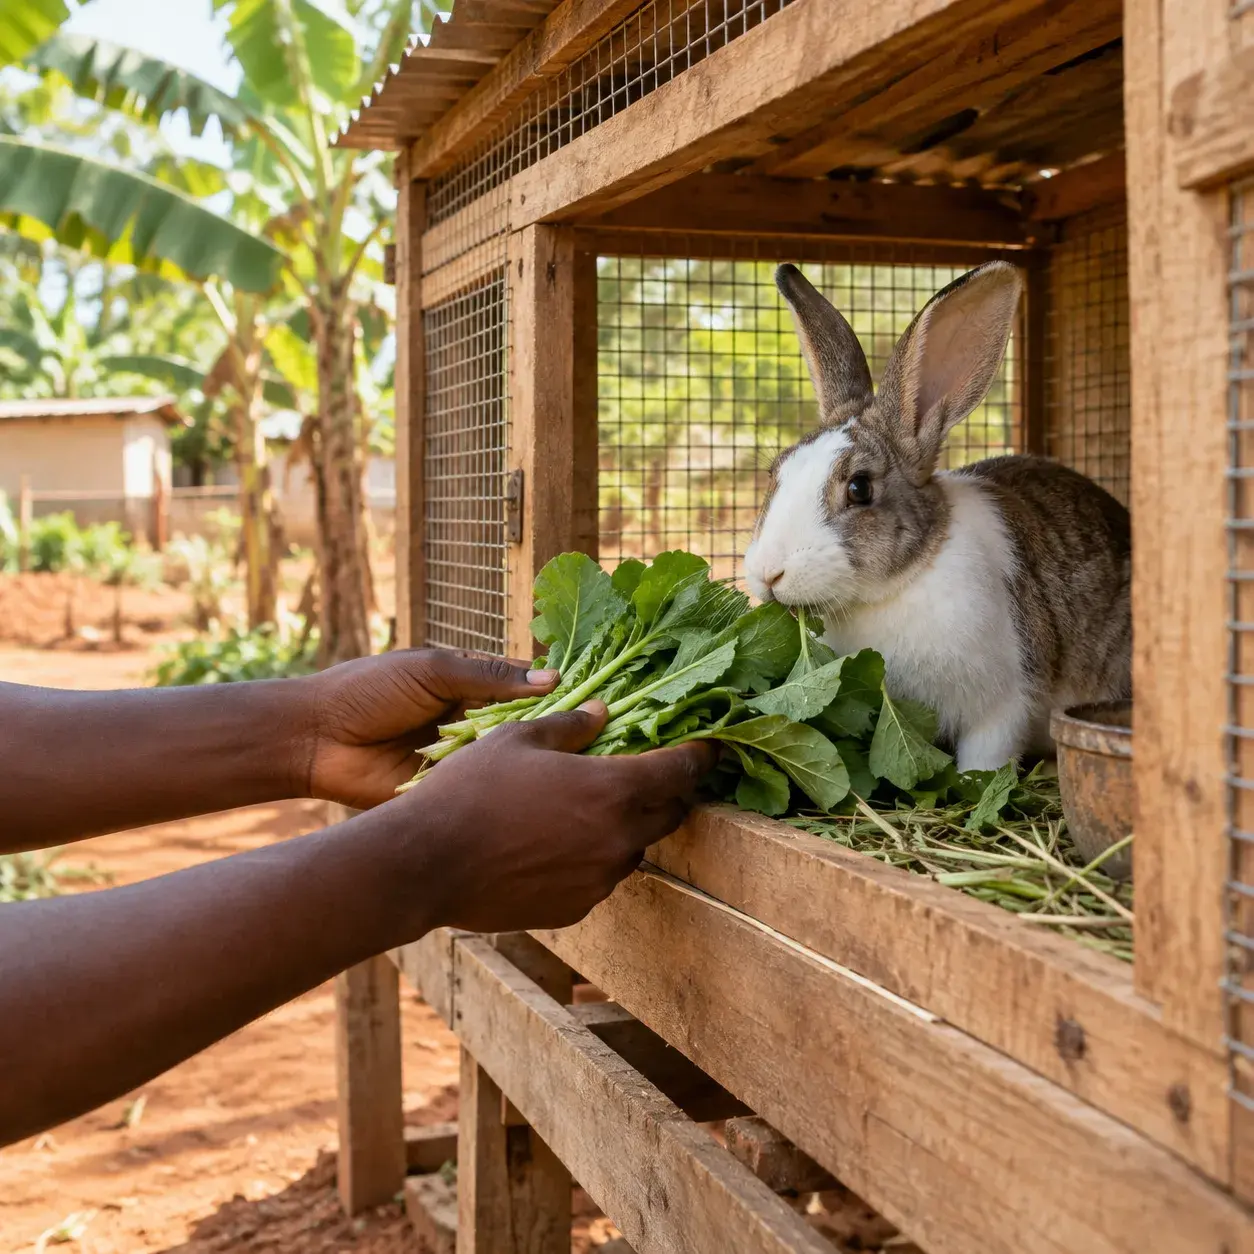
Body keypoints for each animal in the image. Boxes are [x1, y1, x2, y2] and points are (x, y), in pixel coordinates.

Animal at [743, 261, 1131, 772]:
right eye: (776, 472)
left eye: (860, 488)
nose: (769, 573)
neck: (900, 585)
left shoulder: (1001, 707)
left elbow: (984, 761)